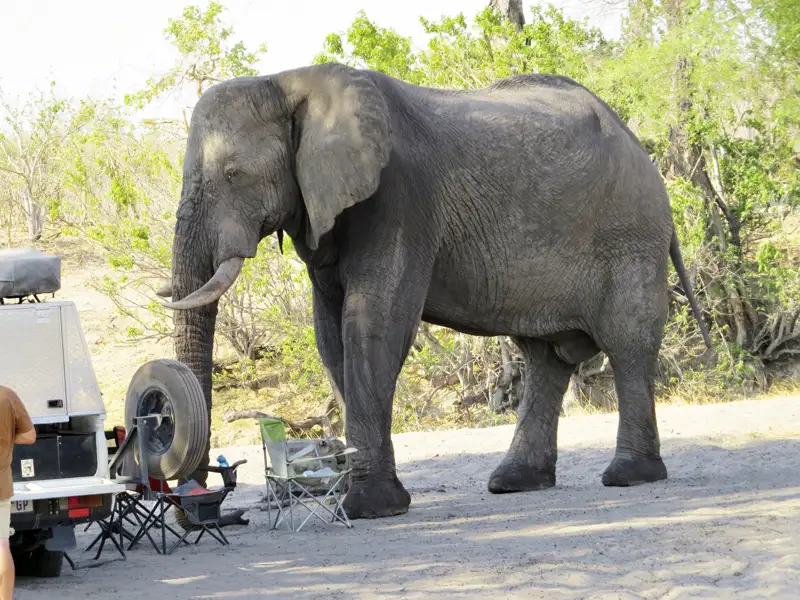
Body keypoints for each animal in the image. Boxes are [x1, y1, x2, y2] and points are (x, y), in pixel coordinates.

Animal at [158, 61, 712, 520]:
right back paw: (515, 483)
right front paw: (355, 498)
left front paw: (370, 508)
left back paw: (629, 477)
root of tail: (640, 145)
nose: (202, 494)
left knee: (627, 345)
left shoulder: (399, 197)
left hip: (631, 234)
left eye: (234, 174)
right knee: (544, 358)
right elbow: (330, 335)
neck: (290, 81)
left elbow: (374, 324)